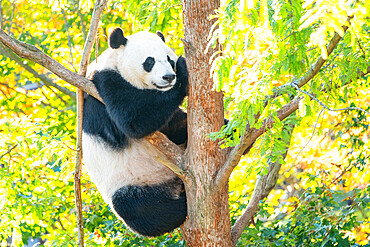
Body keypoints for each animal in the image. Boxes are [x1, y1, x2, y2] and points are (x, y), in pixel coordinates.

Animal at [82, 27, 189, 237]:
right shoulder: (104, 83)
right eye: (150, 61)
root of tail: (172, 186)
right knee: (141, 210)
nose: (169, 77)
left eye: (168, 59)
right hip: (131, 182)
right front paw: (183, 70)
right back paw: (181, 206)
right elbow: (134, 120)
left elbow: (172, 126)